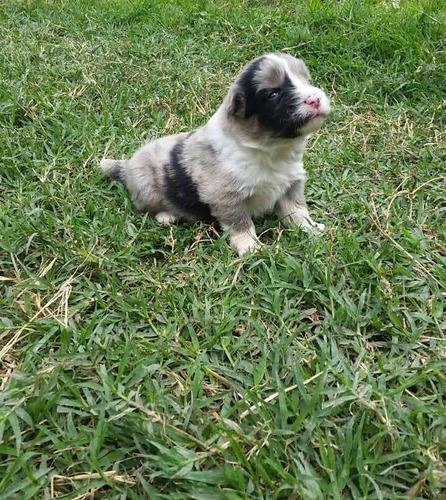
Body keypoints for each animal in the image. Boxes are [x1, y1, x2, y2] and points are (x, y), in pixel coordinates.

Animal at [101, 53, 332, 256]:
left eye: (307, 81)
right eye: (273, 94)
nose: (315, 99)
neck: (271, 149)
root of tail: (127, 165)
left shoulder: (292, 183)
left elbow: (298, 211)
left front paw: (310, 229)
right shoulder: (227, 198)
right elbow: (241, 224)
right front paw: (251, 248)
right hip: (146, 187)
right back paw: (166, 216)